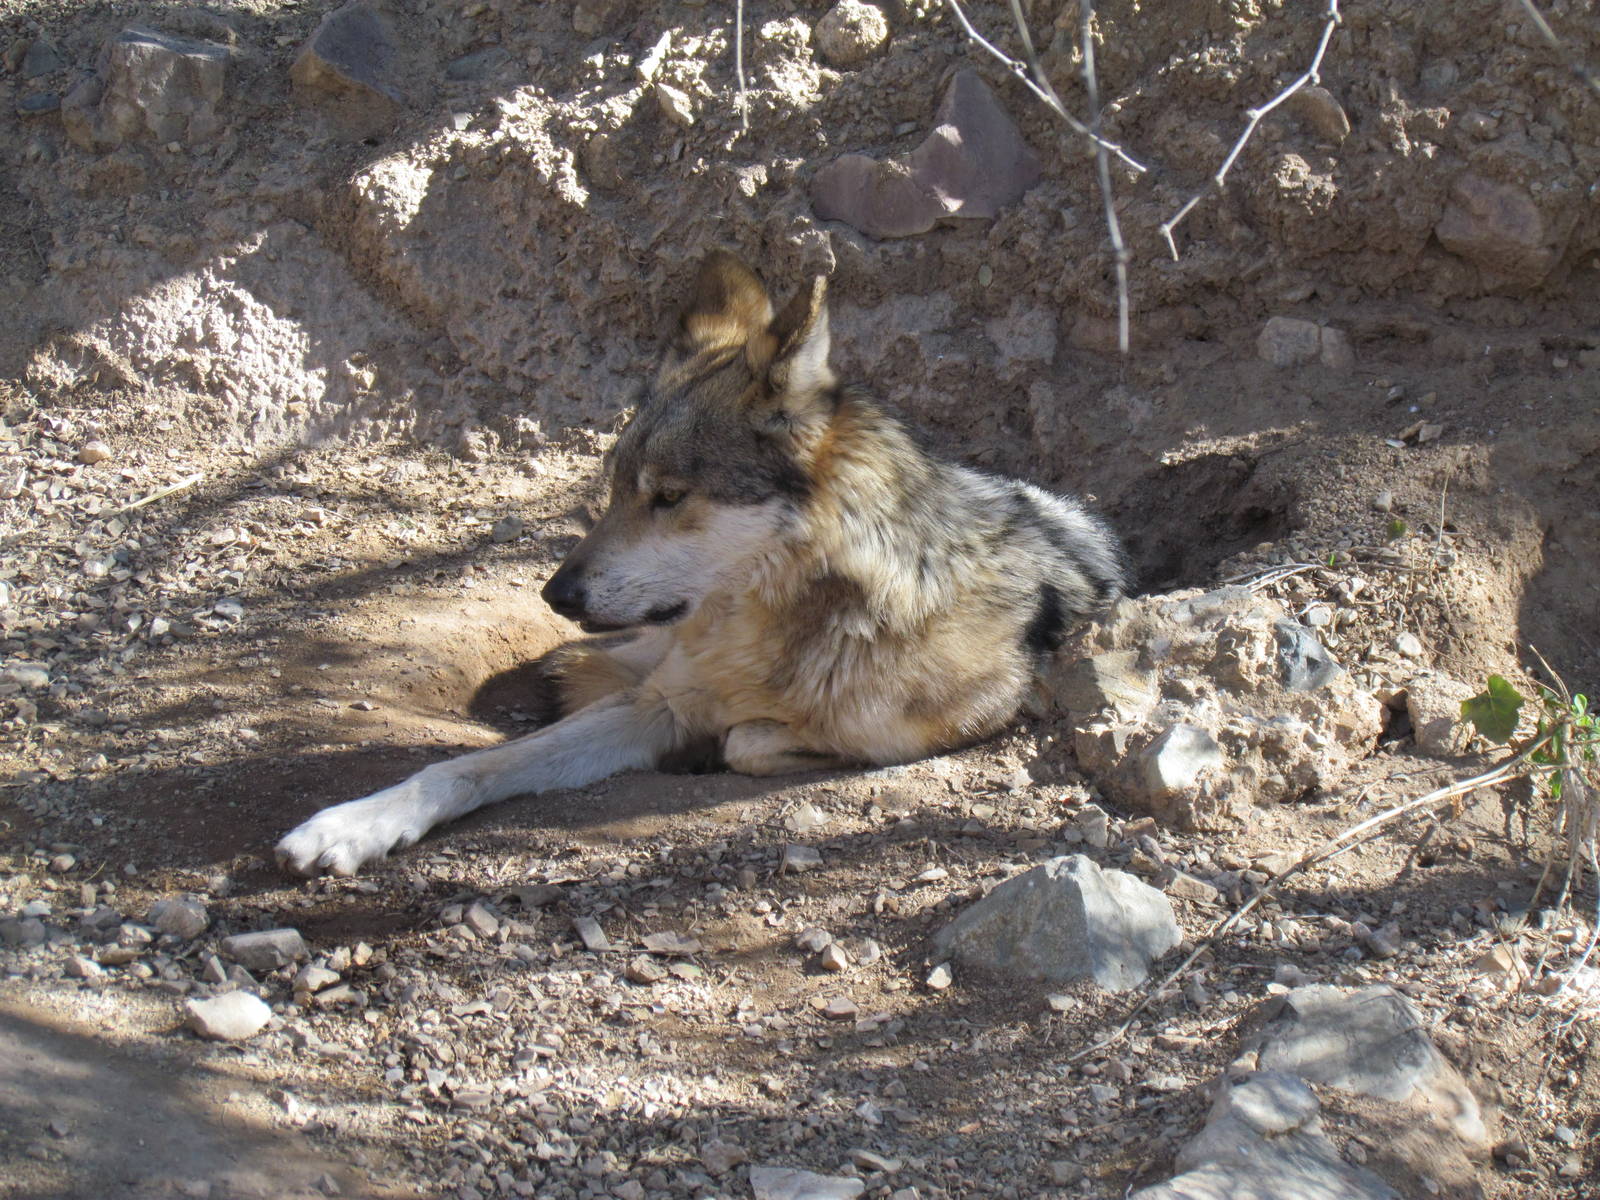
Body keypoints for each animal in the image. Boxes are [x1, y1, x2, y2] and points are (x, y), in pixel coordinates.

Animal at [276, 252, 1127, 875]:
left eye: (669, 495)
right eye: (615, 489)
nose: (556, 593)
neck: (783, 629)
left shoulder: (984, 715)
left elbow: (752, 742)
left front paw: (743, 742)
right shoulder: (660, 705)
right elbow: (467, 767)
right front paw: (353, 824)